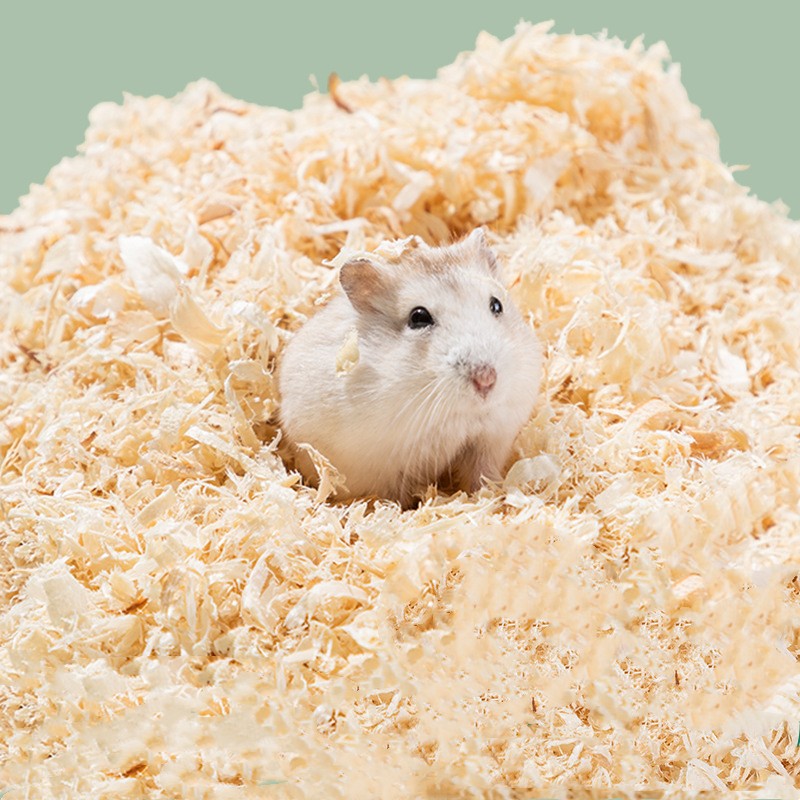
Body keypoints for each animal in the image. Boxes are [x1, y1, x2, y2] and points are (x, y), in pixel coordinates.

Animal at [278, 228, 541, 507]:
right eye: (418, 317)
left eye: (496, 305)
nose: (486, 379)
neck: (461, 414)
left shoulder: (489, 441)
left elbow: (482, 476)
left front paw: (491, 496)